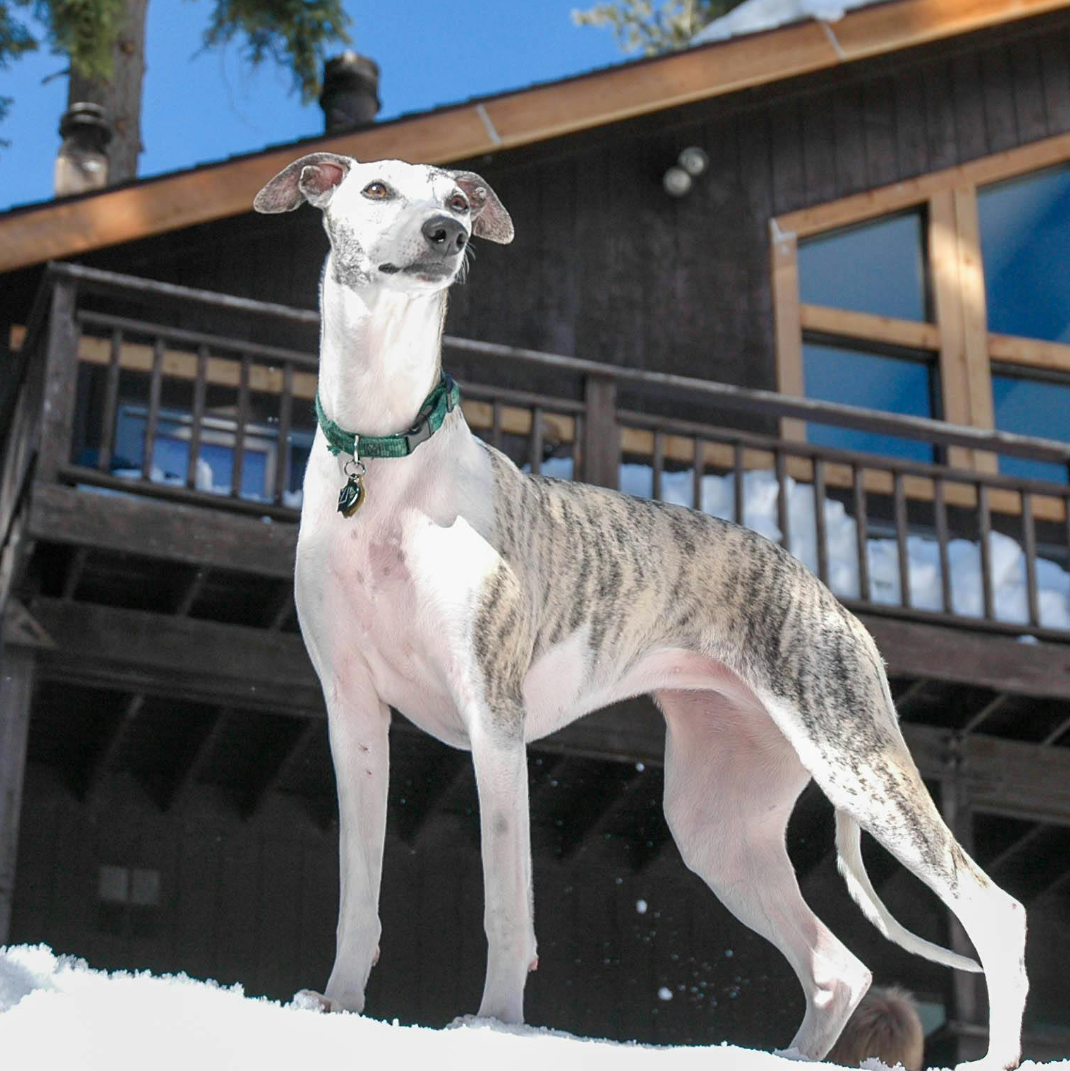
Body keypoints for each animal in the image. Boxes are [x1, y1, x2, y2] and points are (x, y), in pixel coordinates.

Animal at [252, 155, 1028, 1066]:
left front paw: (495, 1025)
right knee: (840, 967)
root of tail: (833, 602)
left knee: (995, 908)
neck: (382, 460)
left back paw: (996, 1052)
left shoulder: (494, 715)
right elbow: (357, 887)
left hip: (858, 762)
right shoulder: (352, 713)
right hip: (718, 823)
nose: (450, 235)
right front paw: (337, 1006)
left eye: (455, 200)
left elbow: (507, 902)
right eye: (375, 189)